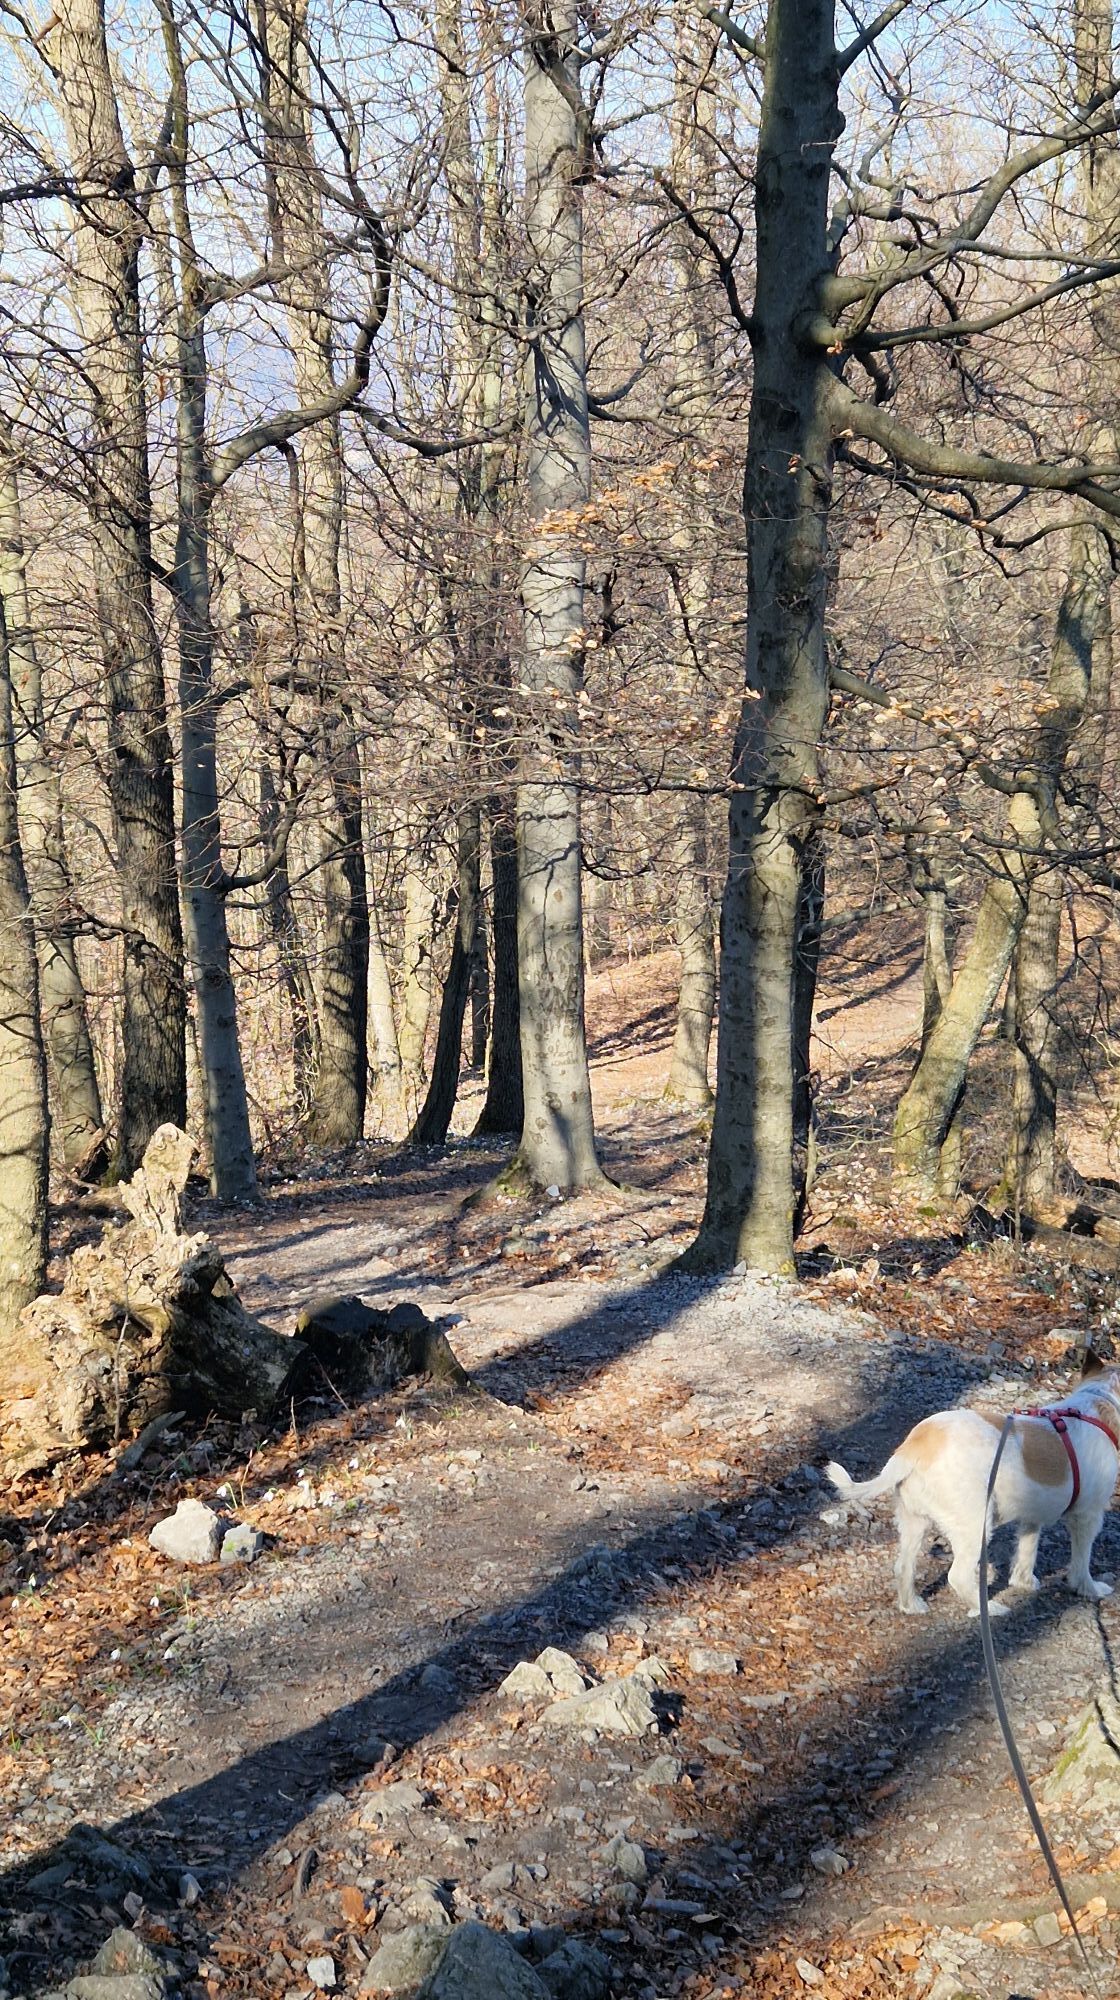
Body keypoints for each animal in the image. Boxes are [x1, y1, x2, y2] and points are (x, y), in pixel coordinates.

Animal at [826, 1353, 1120, 1616]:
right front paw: (1089, 1589)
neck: (1100, 1401)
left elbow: (1027, 1549)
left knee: (903, 1567)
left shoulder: (1031, 1517)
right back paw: (987, 1609)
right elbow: (1081, 1561)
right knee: (958, 1576)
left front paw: (1024, 1582)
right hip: (975, 1526)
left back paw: (911, 1605)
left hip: (914, 1522)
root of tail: (914, 1447)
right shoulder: (1087, 1517)